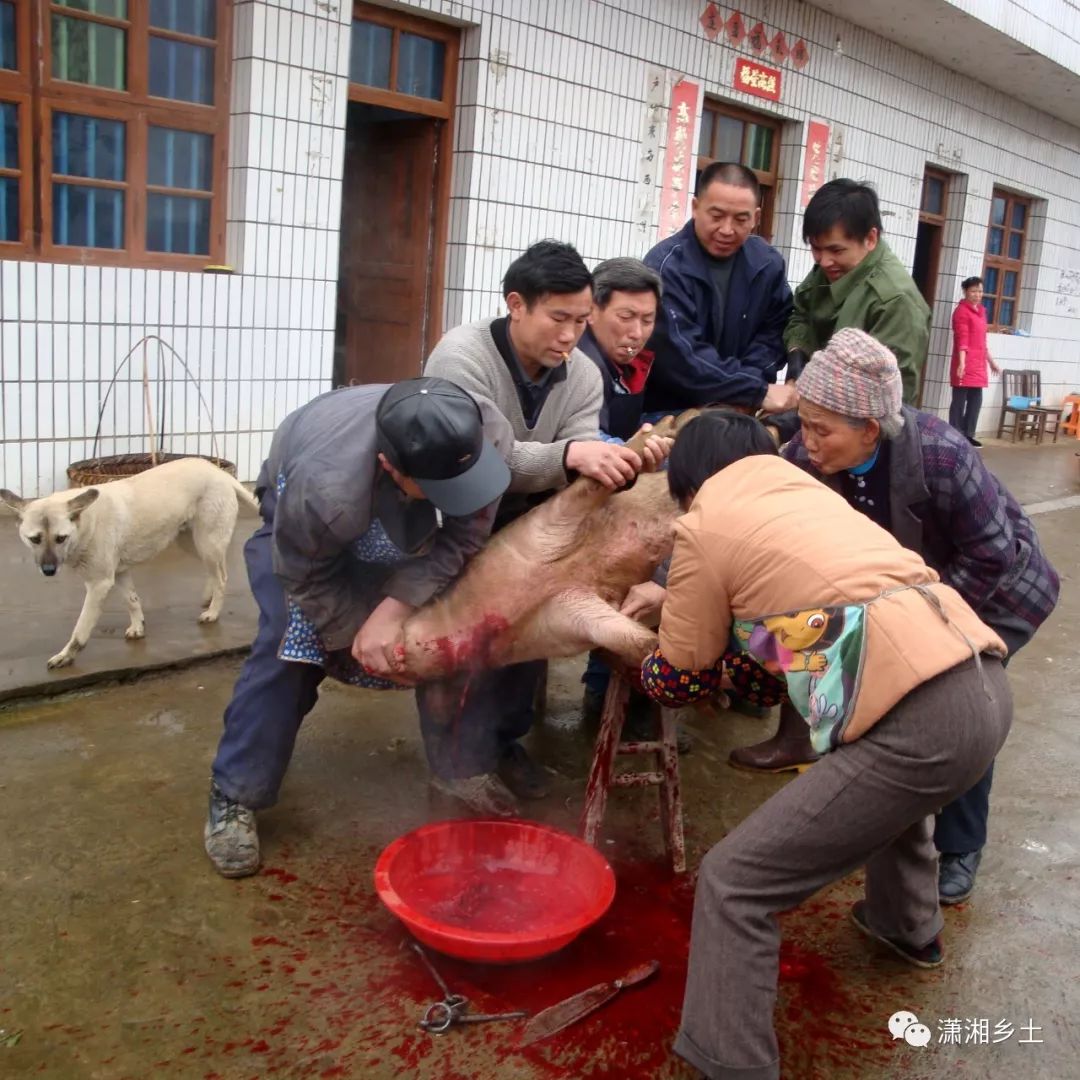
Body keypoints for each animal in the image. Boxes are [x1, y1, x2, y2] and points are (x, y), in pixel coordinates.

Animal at [2, 460, 259, 669]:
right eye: (34, 539)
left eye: (60, 538)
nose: (48, 571)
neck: (85, 522)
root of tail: (218, 472)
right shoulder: (120, 573)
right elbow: (132, 600)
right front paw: (139, 626)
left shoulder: (98, 585)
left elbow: (80, 628)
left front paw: (66, 655)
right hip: (193, 543)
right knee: (217, 571)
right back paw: (208, 598)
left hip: (206, 543)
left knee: (222, 576)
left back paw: (213, 612)